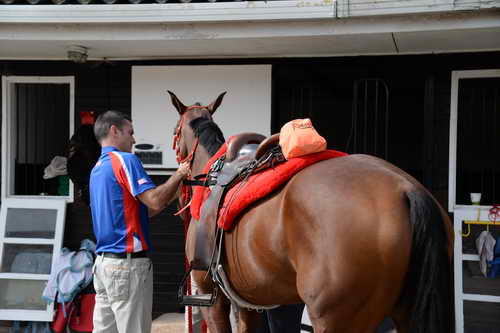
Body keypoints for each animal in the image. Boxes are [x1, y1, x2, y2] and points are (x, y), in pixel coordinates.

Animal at [170, 91, 456, 332]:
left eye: (175, 131)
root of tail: (405, 188)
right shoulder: (246, 303)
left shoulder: (212, 296)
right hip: (403, 312)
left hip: (335, 319)